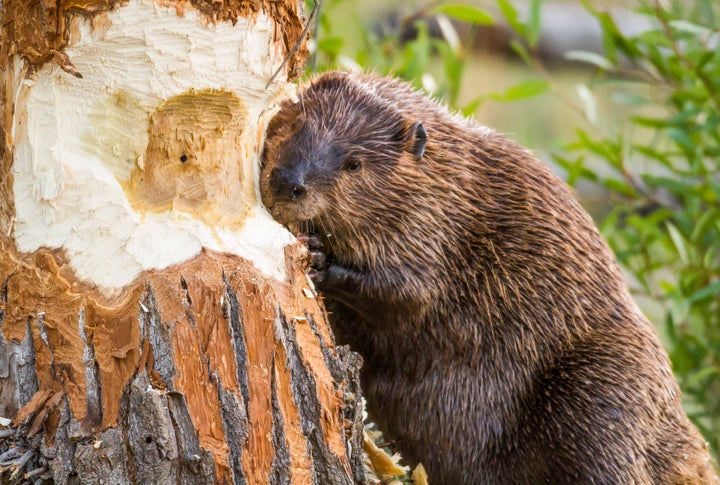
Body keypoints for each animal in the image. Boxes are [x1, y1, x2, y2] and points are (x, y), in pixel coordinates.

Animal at [262, 70, 716, 482]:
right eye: (297, 123)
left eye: (354, 163)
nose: (289, 183)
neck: (448, 179)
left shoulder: (436, 230)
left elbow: (408, 294)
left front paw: (319, 257)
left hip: (604, 387)